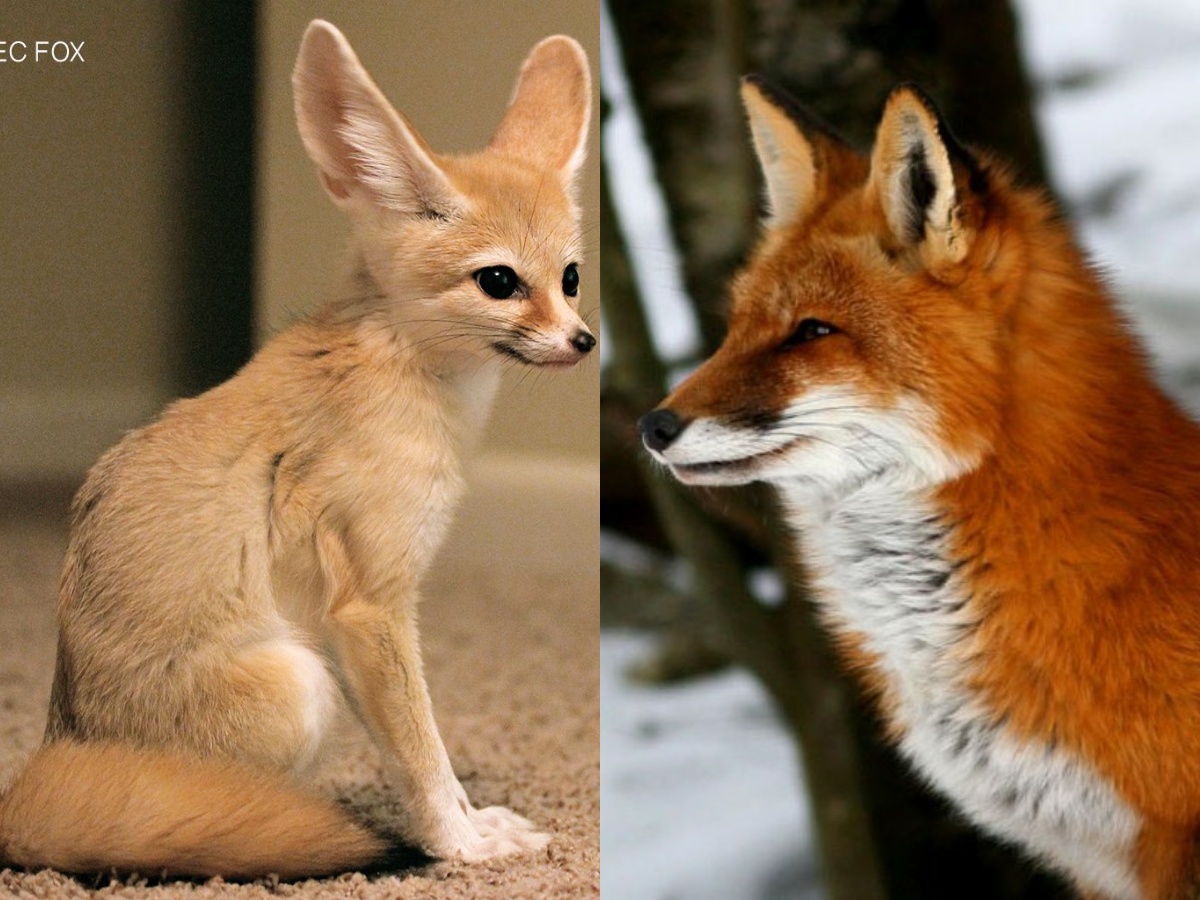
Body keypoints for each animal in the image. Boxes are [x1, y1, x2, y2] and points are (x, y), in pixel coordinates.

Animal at [0, 19, 593, 880]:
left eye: (571, 278)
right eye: (499, 282)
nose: (584, 342)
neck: (398, 364)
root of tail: (58, 754)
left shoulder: (357, 619)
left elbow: (422, 750)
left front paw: (468, 824)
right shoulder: (371, 607)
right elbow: (422, 751)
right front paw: (459, 844)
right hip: (300, 682)